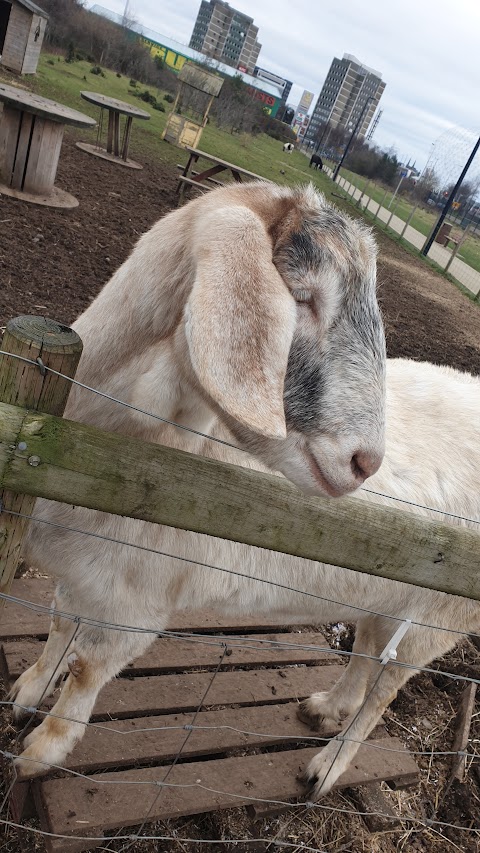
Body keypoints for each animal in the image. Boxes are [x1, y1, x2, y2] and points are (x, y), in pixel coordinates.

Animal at [11, 180, 440, 800]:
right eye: (303, 297)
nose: (367, 462)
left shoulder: (137, 604)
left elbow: (86, 668)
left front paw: (41, 751)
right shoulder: (85, 574)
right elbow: (59, 624)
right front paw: (26, 691)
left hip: (435, 623)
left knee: (384, 693)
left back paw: (328, 766)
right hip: (382, 600)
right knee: (363, 657)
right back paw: (326, 707)